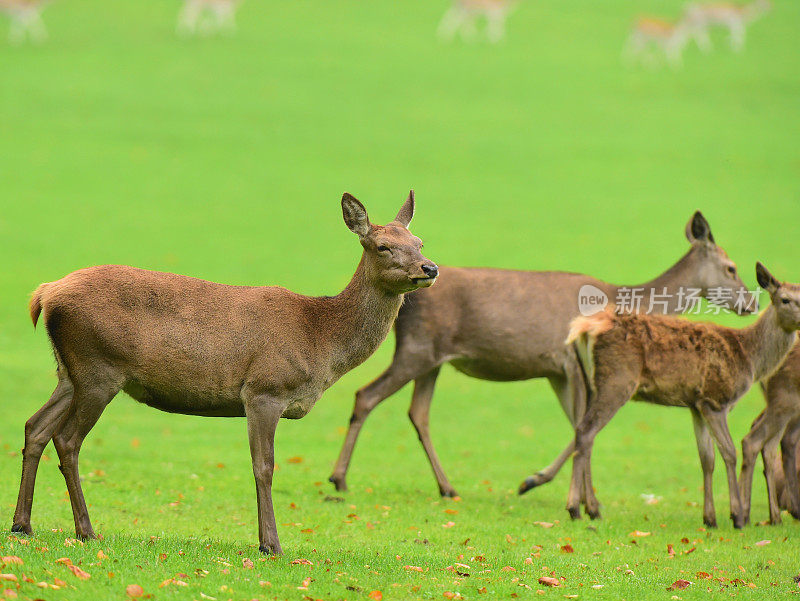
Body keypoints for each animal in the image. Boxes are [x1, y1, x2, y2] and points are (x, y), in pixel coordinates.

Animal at [10, 192, 438, 552]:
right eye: (382, 246)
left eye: (418, 242)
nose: (429, 267)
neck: (320, 339)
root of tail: (45, 293)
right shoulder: (264, 390)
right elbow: (264, 466)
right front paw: (271, 544)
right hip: (98, 368)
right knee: (66, 439)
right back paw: (86, 530)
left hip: (69, 372)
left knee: (35, 427)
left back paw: (22, 525)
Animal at [330, 211, 756, 496]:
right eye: (732, 268)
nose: (751, 303)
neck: (622, 298)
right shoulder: (570, 364)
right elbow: (583, 426)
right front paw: (545, 485)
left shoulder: (556, 371)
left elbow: (578, 426)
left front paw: (550, 485)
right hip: (416, 350)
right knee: (367, 395)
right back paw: (339, 478)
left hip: (432, 358)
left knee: (418, 413)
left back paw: (447, 487)